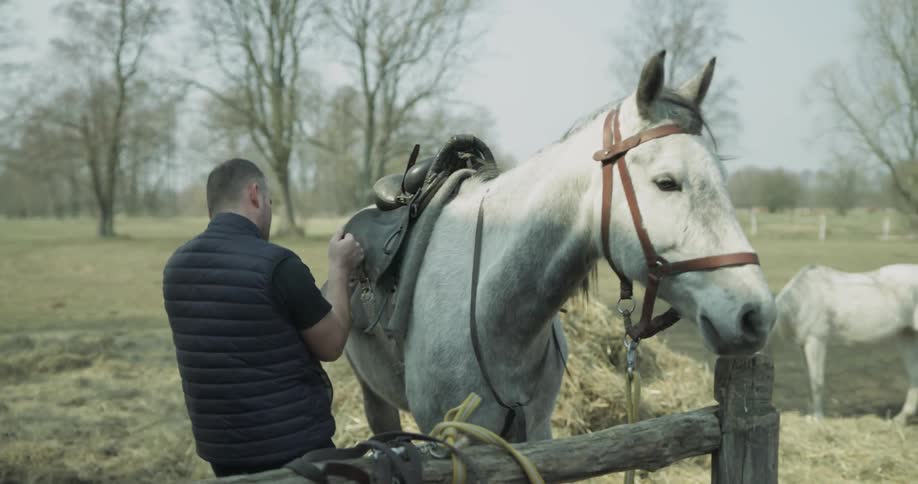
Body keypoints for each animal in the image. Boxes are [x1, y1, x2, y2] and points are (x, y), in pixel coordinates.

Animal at [775, 263, 918, 423]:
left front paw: (817, 418)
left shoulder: (816, 340)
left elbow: (816, 381)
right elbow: (809, 379)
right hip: (906, 335)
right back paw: (900, 419)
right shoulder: (803, 345)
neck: (802, 297)